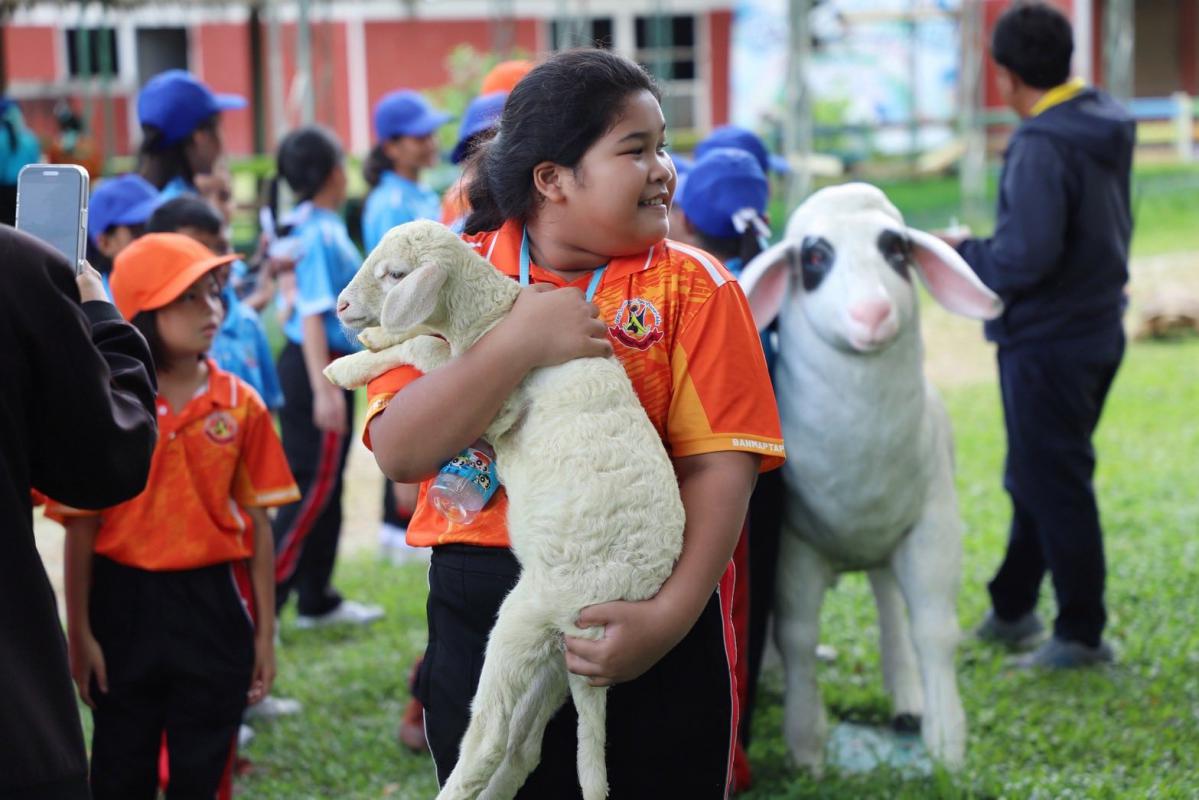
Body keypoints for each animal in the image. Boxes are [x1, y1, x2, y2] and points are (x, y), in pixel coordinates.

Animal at [738, 183, 1002, 774]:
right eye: (814, 257)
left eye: (896, 249)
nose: (873, 313)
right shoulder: (794, 544)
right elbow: (797, 635)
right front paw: (806, 747)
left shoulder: (933, 529)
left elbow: (933, 629)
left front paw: (946, 742)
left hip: (886, 546)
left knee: (888, 605)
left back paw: (906, 699)